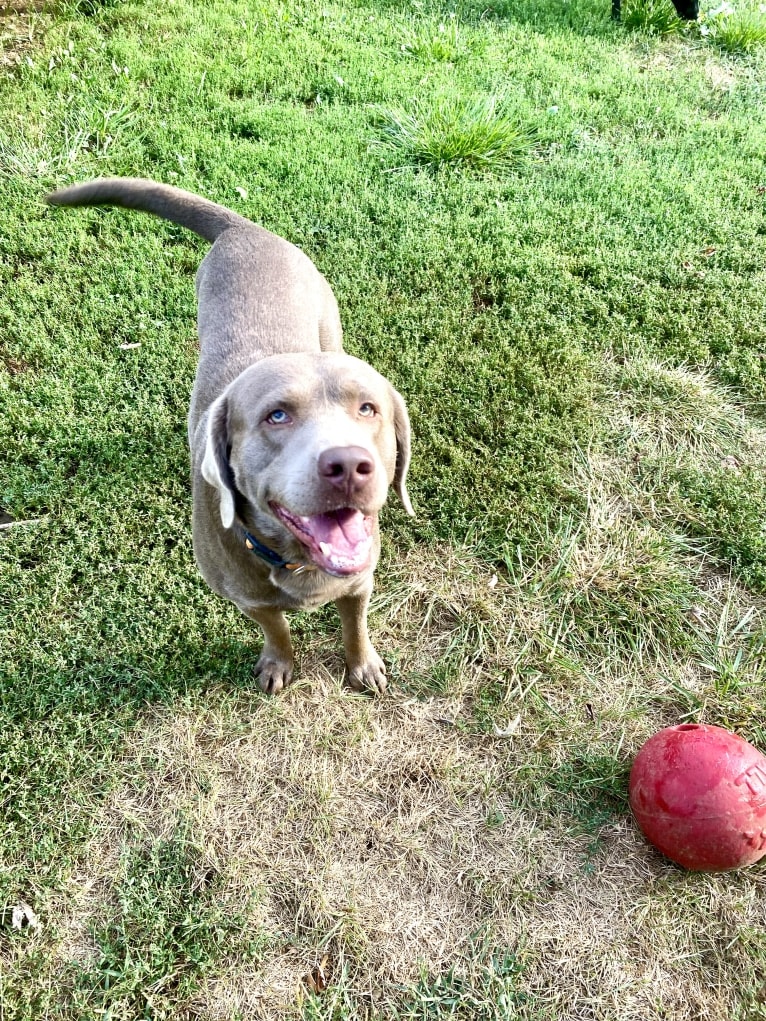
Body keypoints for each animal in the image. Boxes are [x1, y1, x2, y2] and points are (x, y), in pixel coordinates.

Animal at [48, 179, 414, 698]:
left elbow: (355, 624)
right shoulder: (245, 597)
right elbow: (276, 628)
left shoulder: (360, 580)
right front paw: (279, 663)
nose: (347, 465)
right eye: (276, 416)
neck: (297, 561)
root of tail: (243, 229)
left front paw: (363, 665)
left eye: (368, 409)